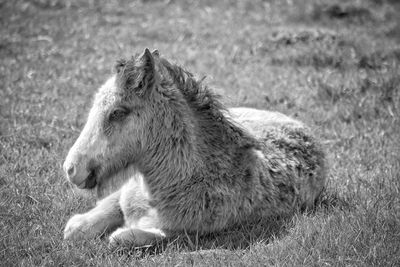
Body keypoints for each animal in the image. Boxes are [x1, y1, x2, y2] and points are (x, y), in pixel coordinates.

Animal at [61, 49, 324, 248]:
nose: (71, 168)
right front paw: (81, 224)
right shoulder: (127, 188)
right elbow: (92, 217)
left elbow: (126, 237)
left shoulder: (182, 233)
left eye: (117, 113)